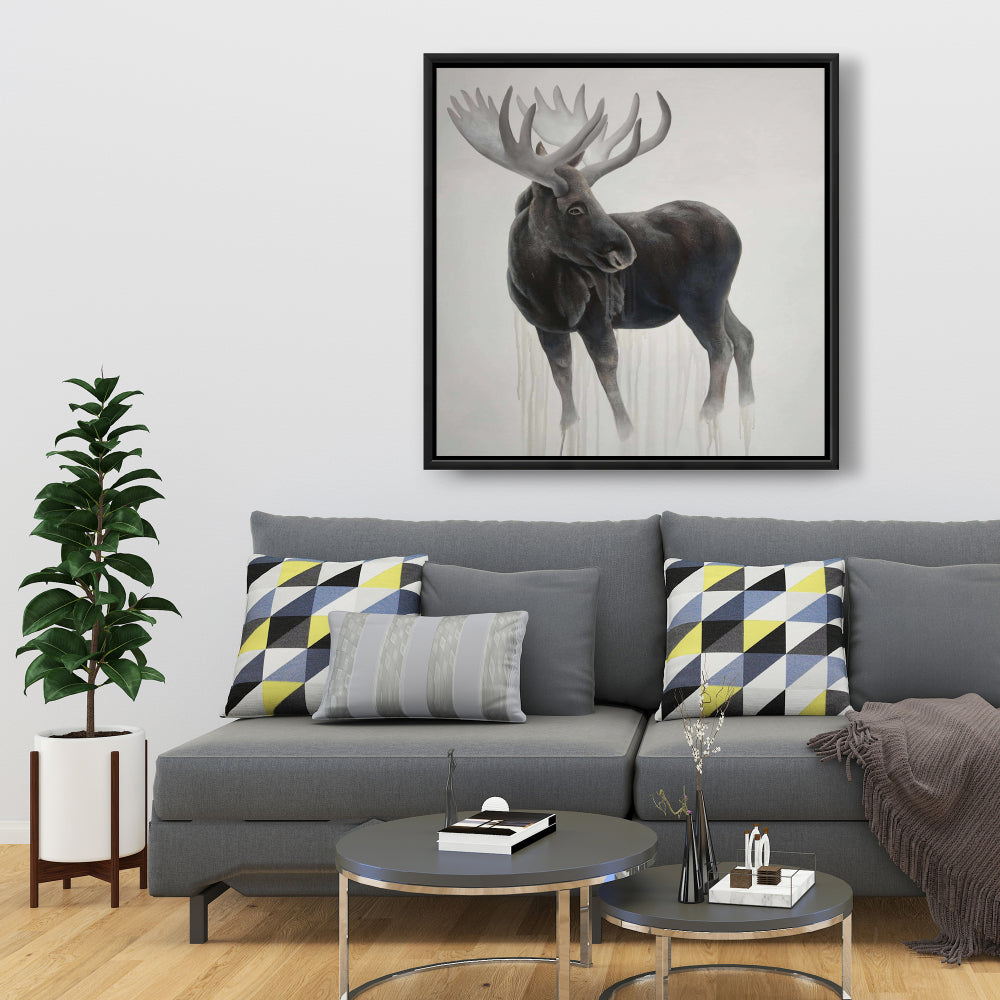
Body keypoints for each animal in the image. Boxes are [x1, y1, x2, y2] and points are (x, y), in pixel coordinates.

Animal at [447, 85, 756, 455]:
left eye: (596, 199)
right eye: (575, 208)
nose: (626, 252)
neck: (537, 286)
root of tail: (735, 231)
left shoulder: (597, 318)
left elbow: (606, 368)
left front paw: (626, 431)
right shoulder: (545, 327)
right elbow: (562, 372)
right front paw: (567, 426)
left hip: (700, 301)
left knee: (720, 347)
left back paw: (709, 412)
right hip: (721, 298)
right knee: (743, 337)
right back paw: (746, 404)